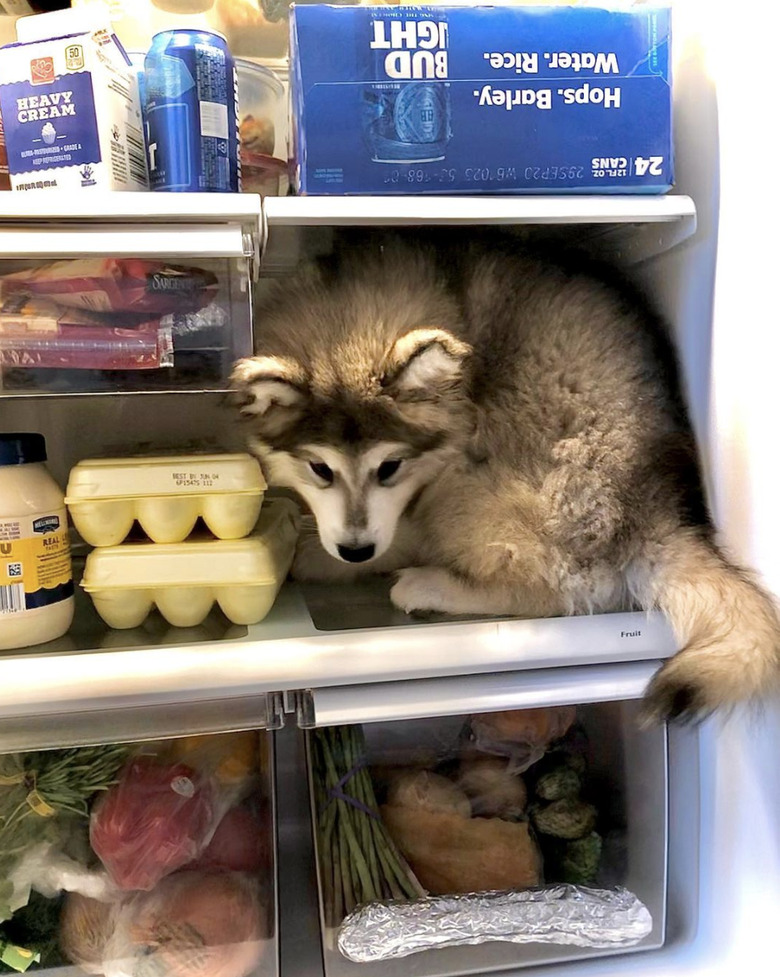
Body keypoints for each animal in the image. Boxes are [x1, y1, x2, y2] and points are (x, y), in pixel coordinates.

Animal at [232, 239, 780, 720]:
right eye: (319, 469)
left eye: (390, 467)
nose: (355, 551)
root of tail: (653, 509)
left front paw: (320, 556)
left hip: (473, 494)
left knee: (548, 589)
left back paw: (422, 584)